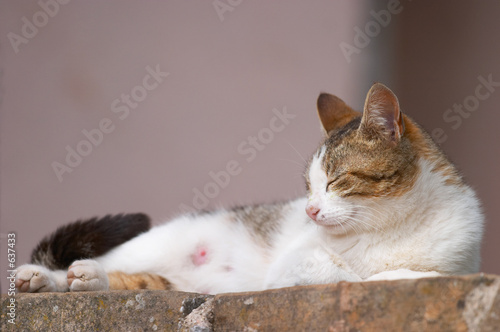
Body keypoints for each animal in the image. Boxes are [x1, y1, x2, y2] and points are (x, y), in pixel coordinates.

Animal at [15, 82, 484, 294]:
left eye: (335, 180)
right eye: (308, 186)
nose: (310, 211)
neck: (391, 228)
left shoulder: (461, 260)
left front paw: (410, 273)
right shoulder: (296, 265)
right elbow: (347, 274)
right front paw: (393, 275)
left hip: (167, 281)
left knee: (138, 282)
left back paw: (85, 281)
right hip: (149, 244)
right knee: (102, 265)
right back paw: (47, 277)